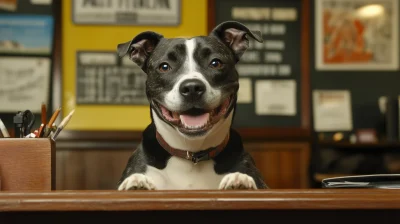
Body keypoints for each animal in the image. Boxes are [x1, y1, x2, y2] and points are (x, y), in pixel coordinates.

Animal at [115, 21, 268, 190]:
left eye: (215, 63)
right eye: (164, 66)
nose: (192, 87)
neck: (192, 154)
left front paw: (240, 181)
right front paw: (138, 182)